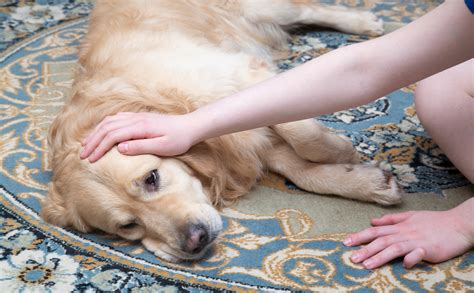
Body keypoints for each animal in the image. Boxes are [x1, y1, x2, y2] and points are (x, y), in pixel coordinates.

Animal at [42, 0, 402, 260]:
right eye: (128, 225)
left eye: (151, 178)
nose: (195, 240)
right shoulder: (246, 140)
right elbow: (301, 171)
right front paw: (365, 181)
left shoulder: (242, 75)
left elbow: (303, 135)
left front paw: (341, 149)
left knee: (309, 9)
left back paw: (365, 22)